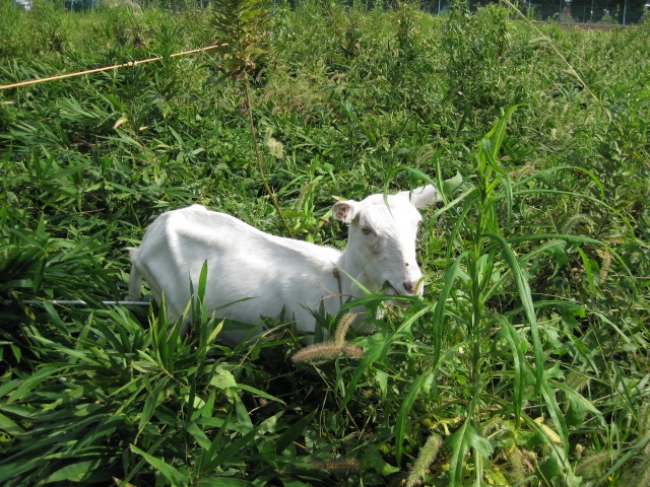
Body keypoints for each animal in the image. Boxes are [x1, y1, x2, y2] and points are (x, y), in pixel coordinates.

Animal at [126, 185, 438, 346]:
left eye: (417, 223)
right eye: (367, 229)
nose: (411, 285)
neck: (336, 280)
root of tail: (148, 239)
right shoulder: (314, 335)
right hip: (174, 309)